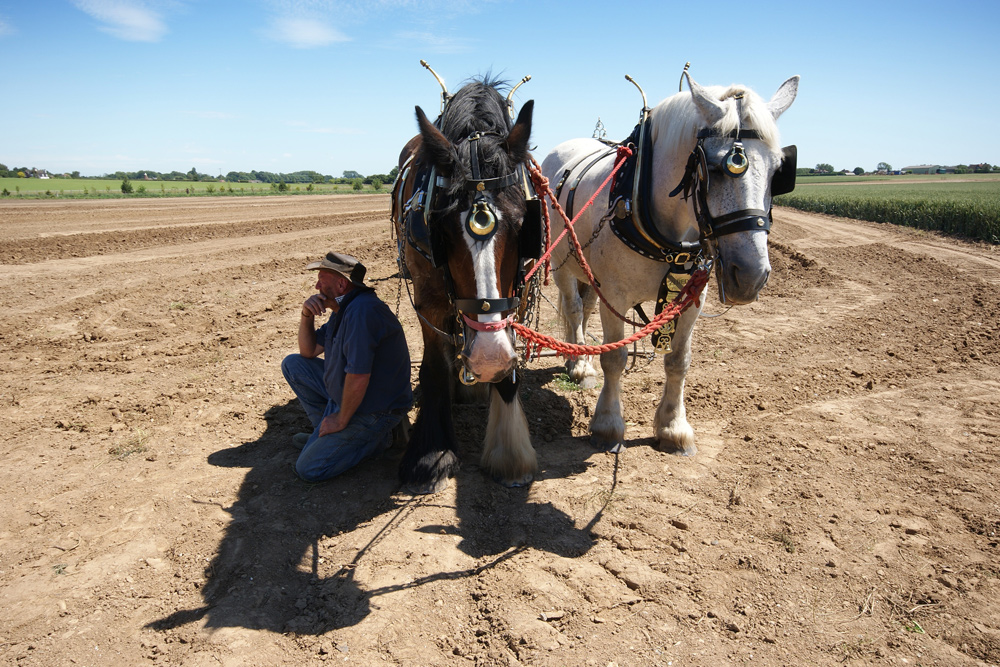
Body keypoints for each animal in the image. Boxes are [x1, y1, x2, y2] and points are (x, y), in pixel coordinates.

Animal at [394, 79, 544, 496]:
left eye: (523, 224)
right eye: (441, 230)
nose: (487, 357)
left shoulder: (516, 294)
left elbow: (509, 366)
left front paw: (509, 455)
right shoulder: (428, 299)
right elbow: (433, 365)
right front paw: (431, 455)